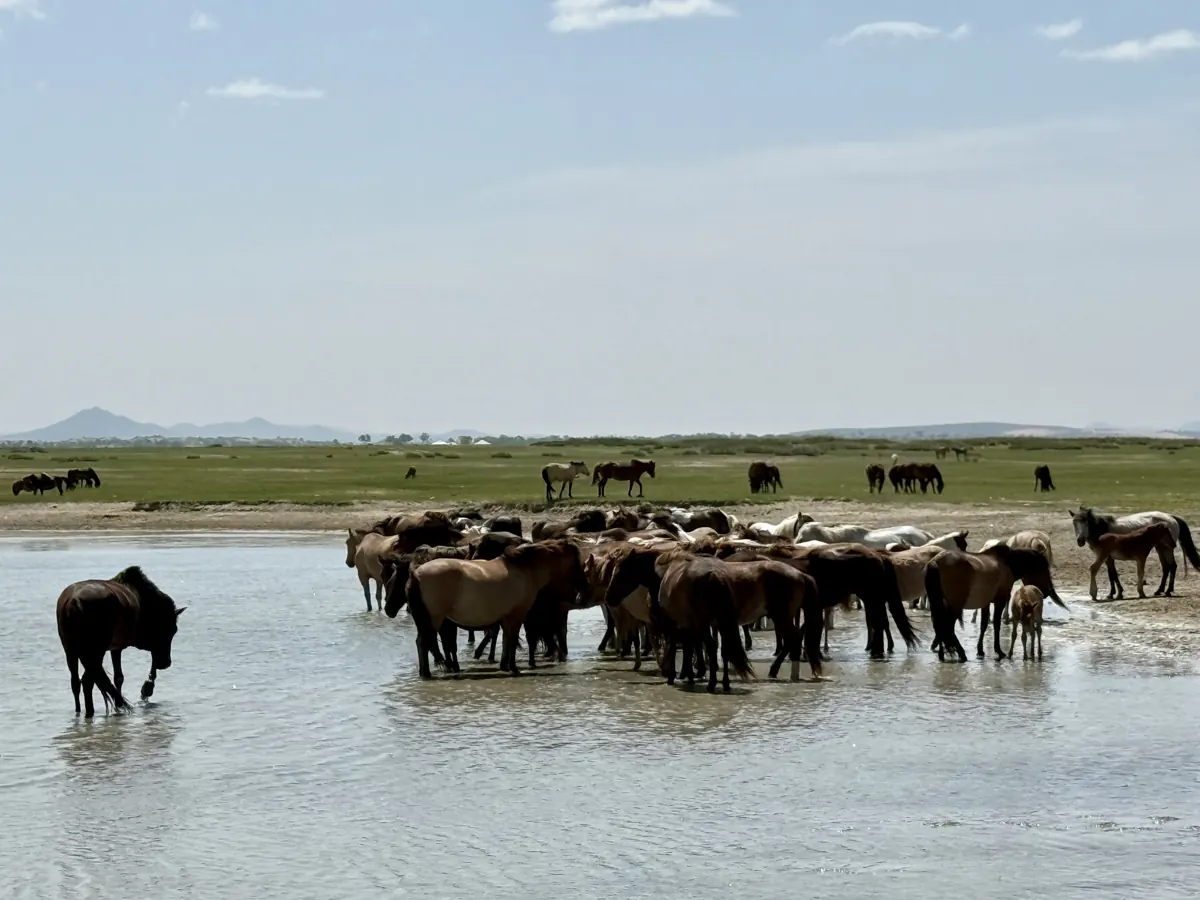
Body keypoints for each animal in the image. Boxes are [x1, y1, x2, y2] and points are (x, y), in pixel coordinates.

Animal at [56, 566, 186, 717]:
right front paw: (146, 688)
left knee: (76, 682)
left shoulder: (115, 648)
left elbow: (118, 677)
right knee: (88, 681)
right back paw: (90, 712)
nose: (166, 663)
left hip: (71, 650)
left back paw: (79, 711)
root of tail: (72, 602)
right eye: (172, 630)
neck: (144, 602)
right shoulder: (128, 645)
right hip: (95, 651)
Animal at [393, 539, 588, 678]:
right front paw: (513, 668)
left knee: (423, 642)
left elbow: (507, 639)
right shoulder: (517, 615)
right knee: (423, 642)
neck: (524, 569)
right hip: (434, 619)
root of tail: (416, 573)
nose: (584, 589)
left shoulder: (506, 617)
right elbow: (511, 640)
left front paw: (505, 666)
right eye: (577, 564)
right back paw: (426, 674)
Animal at [925, 544, 1065, 662]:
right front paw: (998, 651)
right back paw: (960, 652)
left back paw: (942, 654)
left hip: (939, 602)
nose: (1045, 592)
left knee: (939, 624)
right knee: (947, 625)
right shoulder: (1000, 600)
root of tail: (936, 562)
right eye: (1043, 569)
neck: (1006, 563)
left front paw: (980, 650)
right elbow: (997, 624)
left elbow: (984, 624)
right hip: (955, 604)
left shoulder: (986, 603)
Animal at [1070, 507, 1200, 600]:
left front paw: (1116, 593)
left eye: (1085, 522)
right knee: (1166, 567)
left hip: (1167, 547)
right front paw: (1113, 593)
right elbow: (1112, 574)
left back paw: (1167, 591)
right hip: (1160, 547)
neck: (1102, 529)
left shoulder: (1107, 557)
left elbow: (1113, 574)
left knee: (1172, 566)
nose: (1080, 541)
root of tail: (1171, 517)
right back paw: (1159, 590)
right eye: (1074, 523)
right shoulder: (1107, 557)